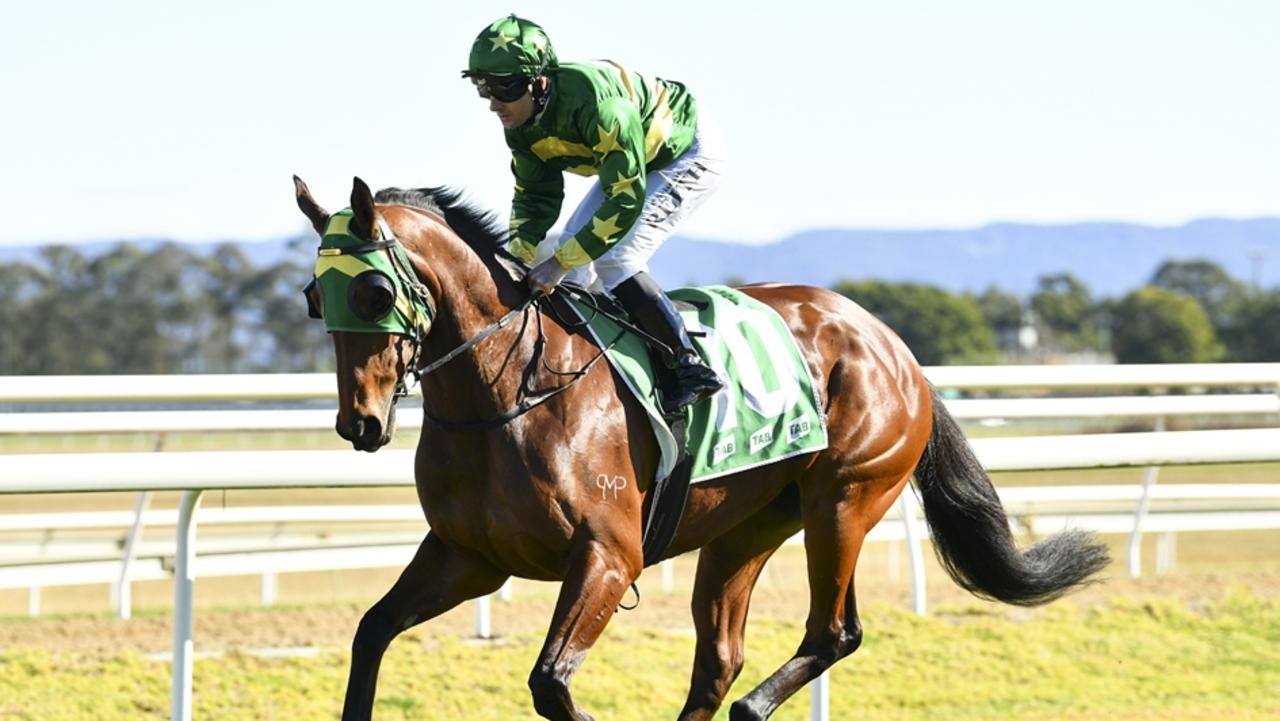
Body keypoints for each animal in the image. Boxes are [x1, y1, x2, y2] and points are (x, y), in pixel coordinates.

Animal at [293, 176, 1111, 721]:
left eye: (371, 291)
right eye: (311, 297)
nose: (360, 423)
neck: (508, 394)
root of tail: (895, 346)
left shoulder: (608, 555)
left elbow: (551, 682)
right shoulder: (469, 556)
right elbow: (370, 634)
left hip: (846, 497)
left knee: (832, 631)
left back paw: (758, 703)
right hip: (744, 527)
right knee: (720, 658)